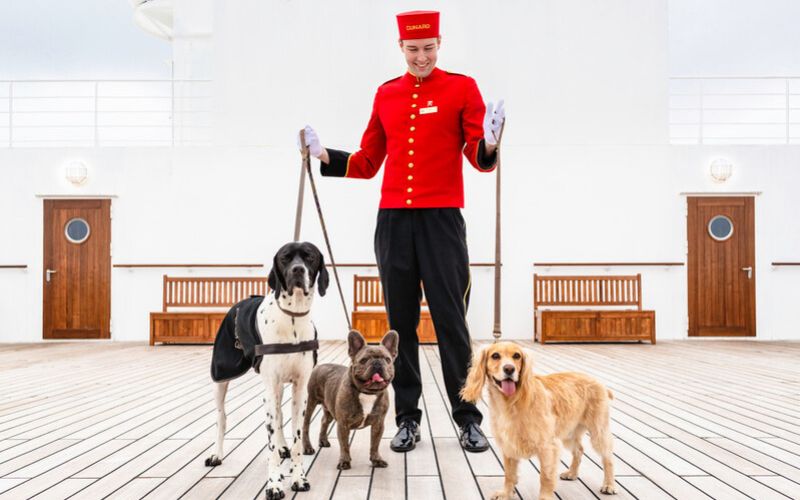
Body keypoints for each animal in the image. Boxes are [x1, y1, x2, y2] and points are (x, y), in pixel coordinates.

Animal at [209, 240, 332, 498]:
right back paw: (216, 454)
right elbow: (271, 445)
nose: (298, 270)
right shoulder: (269, 385)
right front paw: (274, 484)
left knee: (279, 415)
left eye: (310, 257)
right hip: (222, 374)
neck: (292, 317)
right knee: (221, 416)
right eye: (285, 257)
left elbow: (296, 439)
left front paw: (298, 477)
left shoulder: (299, 389)